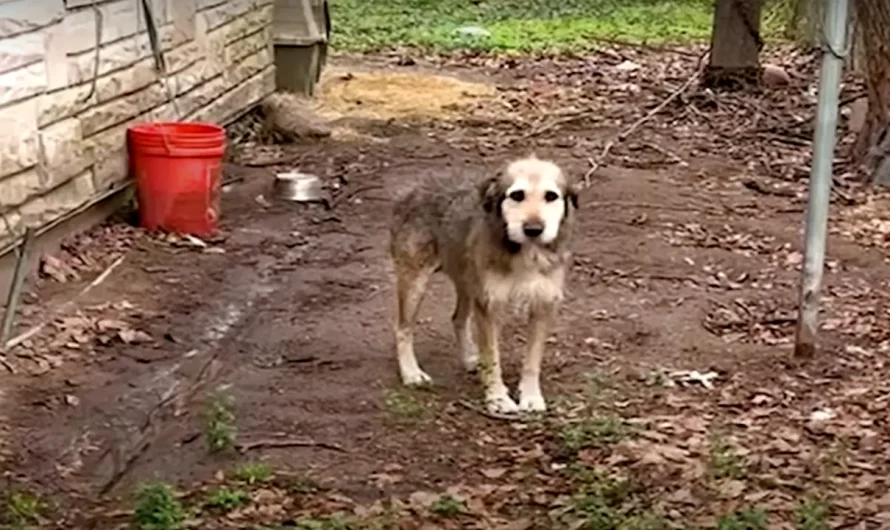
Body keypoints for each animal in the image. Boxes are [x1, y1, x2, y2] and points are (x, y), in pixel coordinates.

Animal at [388, 156, 576, 412]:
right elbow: (492, 358)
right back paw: (411, 373)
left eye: (551, 196)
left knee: (457, 318)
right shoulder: (489, 305)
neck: (525, 252)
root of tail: (414, 185)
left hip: (468, 284)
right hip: (415, 282)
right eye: (517, 195)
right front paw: (498, 398)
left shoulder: (543, 304)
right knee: (403, 328)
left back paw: (468, 358)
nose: (534, 230)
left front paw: (530, 396)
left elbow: (532, 360)